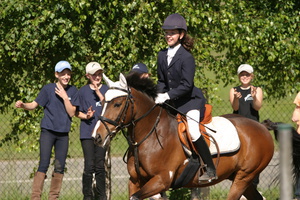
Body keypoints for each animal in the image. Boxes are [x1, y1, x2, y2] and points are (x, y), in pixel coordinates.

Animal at [93, 73, 274, 200]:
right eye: (101, 103)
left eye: (117, 104)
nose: (97, 137)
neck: (149, 136)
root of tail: (261, 127)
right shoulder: (135, 181)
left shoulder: (162, 180)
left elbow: (137, 197)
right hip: (240, 178)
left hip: (244, 177)